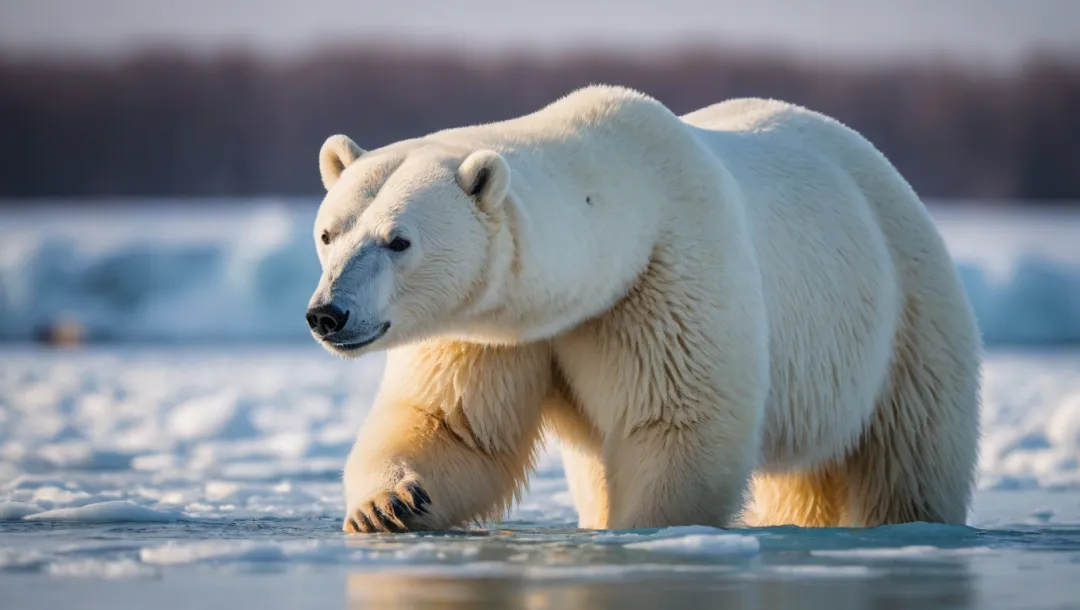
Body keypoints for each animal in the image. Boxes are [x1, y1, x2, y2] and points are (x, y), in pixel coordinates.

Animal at [308, 83, 984, 531]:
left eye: (398, 240)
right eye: (328, 233)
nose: (327, 314)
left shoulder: (664, 281)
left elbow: (677, 423)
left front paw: (644, 529)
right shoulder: (494, 329)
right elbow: (453, 425)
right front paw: (389, 504)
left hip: (906, 311)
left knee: (909, 452)